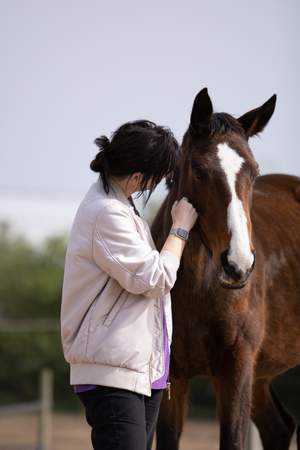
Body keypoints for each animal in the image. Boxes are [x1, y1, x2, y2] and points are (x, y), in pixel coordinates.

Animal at [151, 88, 300, 450]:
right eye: (198, 169)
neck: (197, 289)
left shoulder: (236, 367)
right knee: (278, 427)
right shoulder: (173, 375)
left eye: (254, 172)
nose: (238, 264)